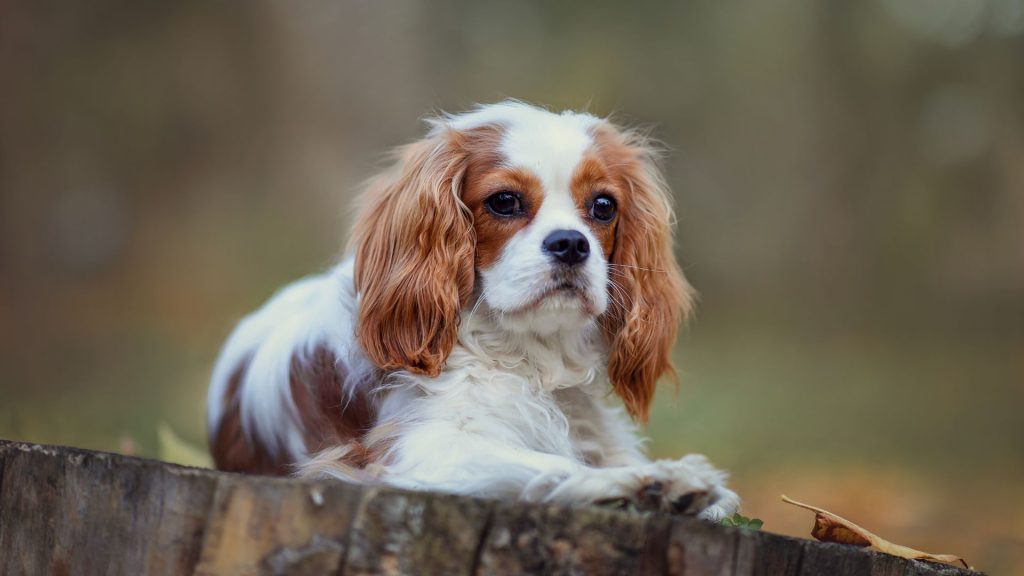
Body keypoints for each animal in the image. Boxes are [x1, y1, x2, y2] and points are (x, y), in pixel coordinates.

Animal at [205, 98, 737, 516]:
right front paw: (650, 482)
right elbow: (545, 464)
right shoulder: (411, 450)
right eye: (504, 201)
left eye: (603, 207)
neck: (527, 354)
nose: (571, 243)